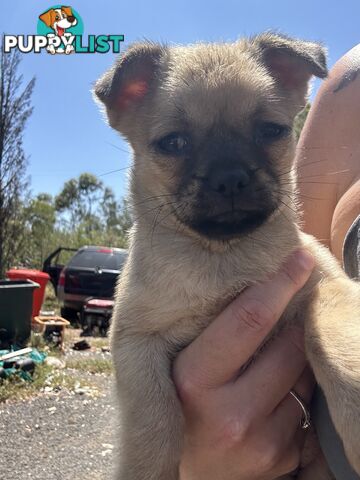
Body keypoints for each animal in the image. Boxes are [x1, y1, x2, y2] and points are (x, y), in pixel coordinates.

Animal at [96, 34, 360, 480]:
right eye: (174, 143)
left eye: (271, 131)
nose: (230, 177)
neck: (224, 257)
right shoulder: (136, 342)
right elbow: (153, 421)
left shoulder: (329, 286)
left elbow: (331, 341)